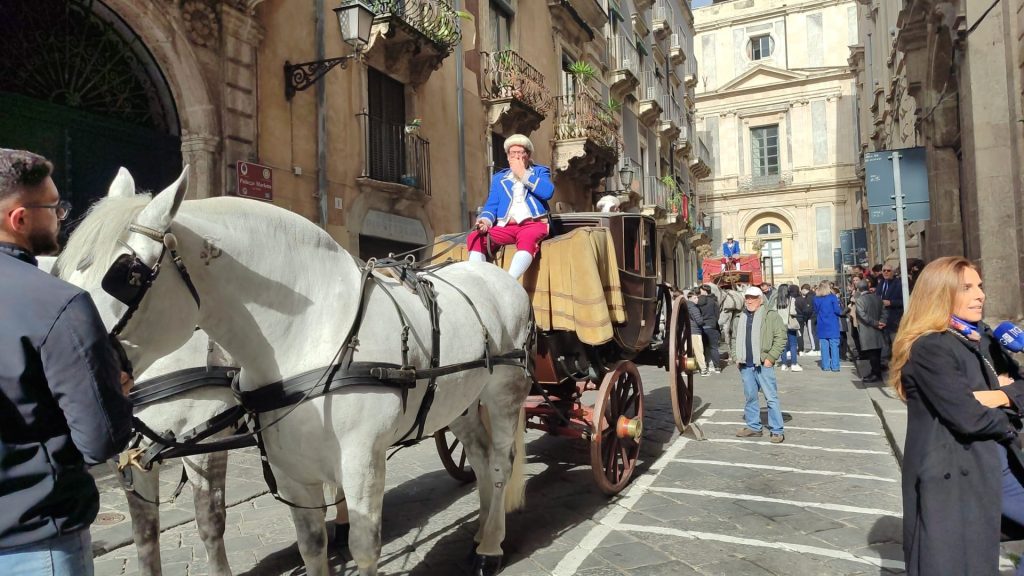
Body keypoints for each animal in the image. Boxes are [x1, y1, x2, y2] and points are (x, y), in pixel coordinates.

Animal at [60, 168, 532, 573]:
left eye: (127, 275)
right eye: (60, 270)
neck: (309, 332)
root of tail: (494, 275)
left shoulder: (360, 461)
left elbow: (363, 548)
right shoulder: (288, 468)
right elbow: (310, 544)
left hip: (505, 390)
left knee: (499, 464)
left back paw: (491, 547)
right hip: (460, 400)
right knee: (479, 454)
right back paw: (482, 532)